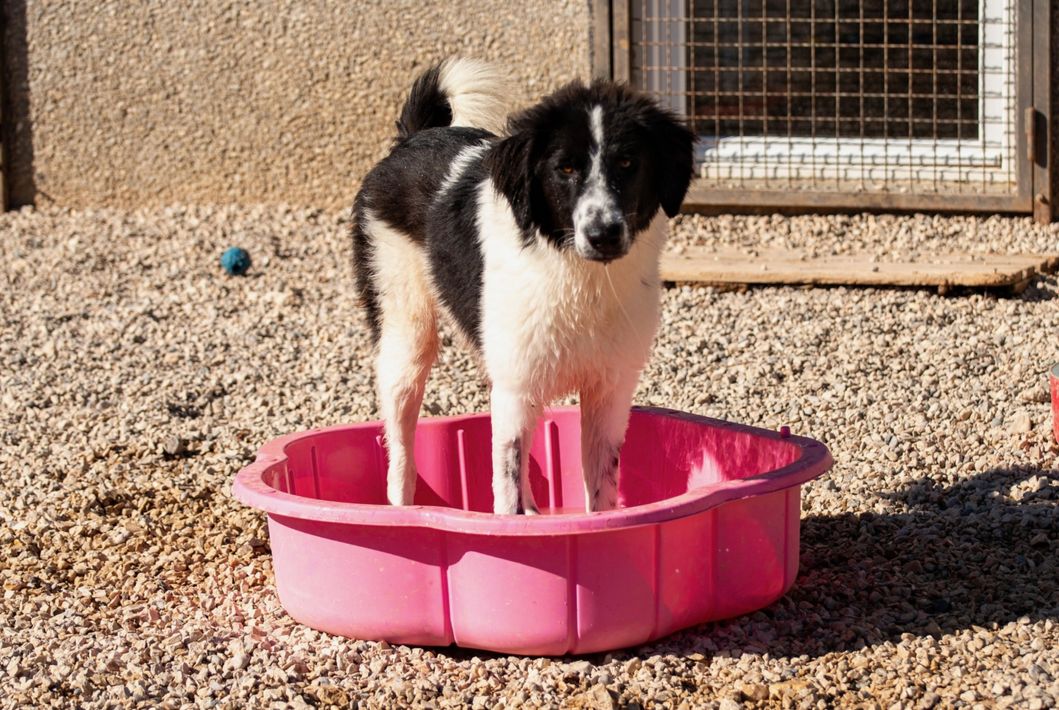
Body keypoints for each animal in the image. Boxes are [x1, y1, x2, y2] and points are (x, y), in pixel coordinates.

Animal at [351, 58, 694, 514]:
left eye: (627, 163)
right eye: (565, 168)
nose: (603, 234)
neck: (578, 276)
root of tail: (412, 137)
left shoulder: (609, 390)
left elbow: (599, 493)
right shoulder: (516, 384)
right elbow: (507, 488)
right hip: (405, 336)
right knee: (401, 455)